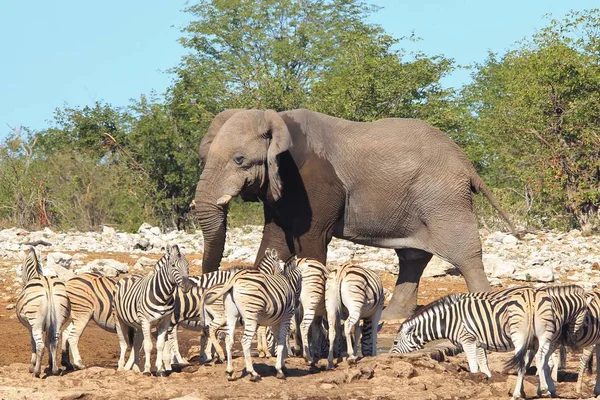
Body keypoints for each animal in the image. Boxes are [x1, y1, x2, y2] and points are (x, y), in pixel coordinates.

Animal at [15, 248, 70, 376]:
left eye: (21, 268)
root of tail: (47, 285)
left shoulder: (30, 327)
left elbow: (33, 344)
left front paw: (32, 365)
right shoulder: (49, 326)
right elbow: (48, 343)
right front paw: (50, 365)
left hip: (36, 323)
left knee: (40, 346)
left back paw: (36, 371)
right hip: (58, 319)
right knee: (54, 342)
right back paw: (55, 370)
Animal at [110, 245, 190, 376]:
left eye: (187, 265)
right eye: (173, 265)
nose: (187, 286)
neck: (164, 296)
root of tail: (131, 275)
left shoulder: (164, 322)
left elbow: (160, 346)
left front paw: (160, 370)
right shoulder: (146, 321)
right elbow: (148, 346)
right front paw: (147, 370)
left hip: (138, 325)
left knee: (136, 345)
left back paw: (136, 368)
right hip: (119, 319)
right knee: (123, 344)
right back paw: (121, 368)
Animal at [195, 108, 516, 320]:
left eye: (240, 160)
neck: (278, 121)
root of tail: (465, 161)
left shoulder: (311, 181)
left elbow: (310, 241)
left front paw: (316, 318)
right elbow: (276, 242)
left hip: (443, 198)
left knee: (464, 253)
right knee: (413, 256)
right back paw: (391, 318)